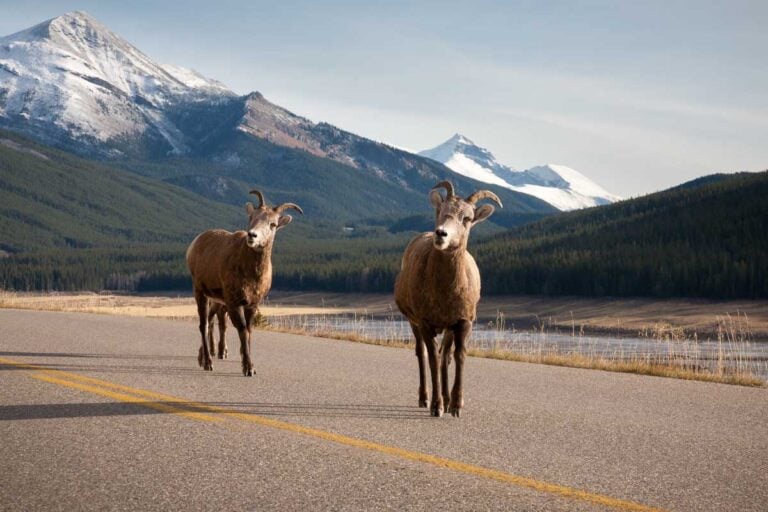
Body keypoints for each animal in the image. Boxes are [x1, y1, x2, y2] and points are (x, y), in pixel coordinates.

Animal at [186, 189, 302, 376]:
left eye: (273, 224)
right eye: (252, 217)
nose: (252, 235)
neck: (251, 275)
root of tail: (194, 245)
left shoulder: (252, 304)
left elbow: (248, 330)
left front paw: (248, 365)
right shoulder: (234, 302)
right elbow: (241, 330)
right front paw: (248, 368)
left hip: (215, 300)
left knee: (210, 322)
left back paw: (203, 358)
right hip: (200, 292)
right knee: (203, 325)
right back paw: (208, 363)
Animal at [394, 181, 501, 417]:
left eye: (467, 218)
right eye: (442, 211)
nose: (441, 233)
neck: (444, 292)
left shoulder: (462, 322)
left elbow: (458, 357)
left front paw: (456, 405)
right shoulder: (425, 322)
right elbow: (432, 359)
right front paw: (436, 407)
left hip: (448, 329)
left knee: (446, 356)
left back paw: (446, 397)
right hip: (414, 323)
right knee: (422, 354)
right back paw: (425, 399)